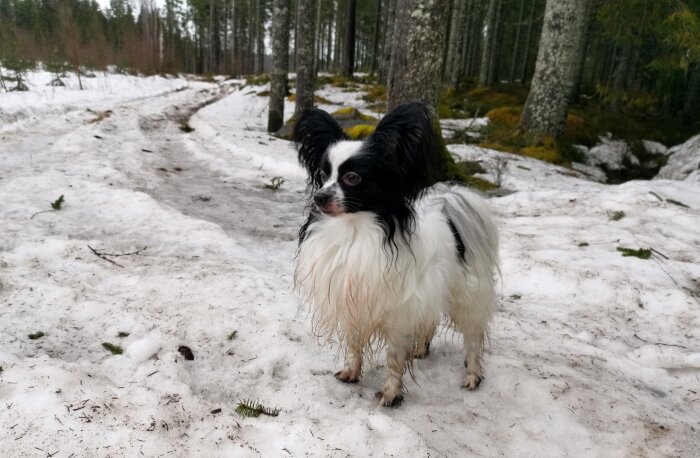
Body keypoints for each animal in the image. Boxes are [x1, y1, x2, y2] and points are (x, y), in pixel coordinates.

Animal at [292, 102, 498, 406]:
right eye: (322, 175)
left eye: (352, 178)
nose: (319, 197)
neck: (355, 232)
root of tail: (448, 214)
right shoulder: (356, 301)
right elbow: (353, 344)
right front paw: (351, 373)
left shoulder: (398, 311)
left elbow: (393, 357)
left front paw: (391, 393)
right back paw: (421, 350)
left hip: (466, 297)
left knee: (473, 338)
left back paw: (473, 375)